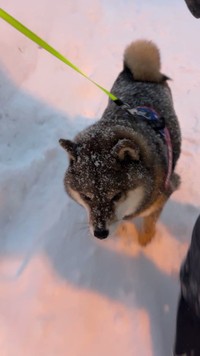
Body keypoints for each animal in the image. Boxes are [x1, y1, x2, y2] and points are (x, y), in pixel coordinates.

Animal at [59, 39, 181, 245]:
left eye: (116, 196)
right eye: (86, 197)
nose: (100, 234)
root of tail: (141, 76)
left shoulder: (163, 195)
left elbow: (148, 225)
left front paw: (144, 244)